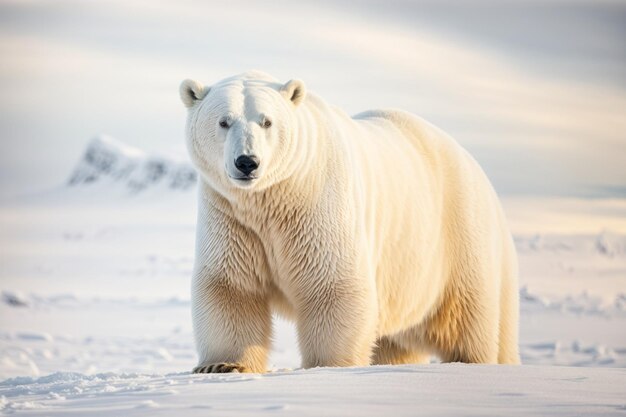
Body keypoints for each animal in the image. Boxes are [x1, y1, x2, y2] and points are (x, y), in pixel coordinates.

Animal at [179, 70, 516, 372]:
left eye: (267, 121)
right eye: (224, 121)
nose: (247, 162)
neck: (274, 196)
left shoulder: (318, 204)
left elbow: (332, 285)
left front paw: (328, 365)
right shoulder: (231, 217)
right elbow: (231, 286)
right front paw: (222, 365)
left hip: (459, 235)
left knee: (467, 317)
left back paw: (476, 360)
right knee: (397, 341)